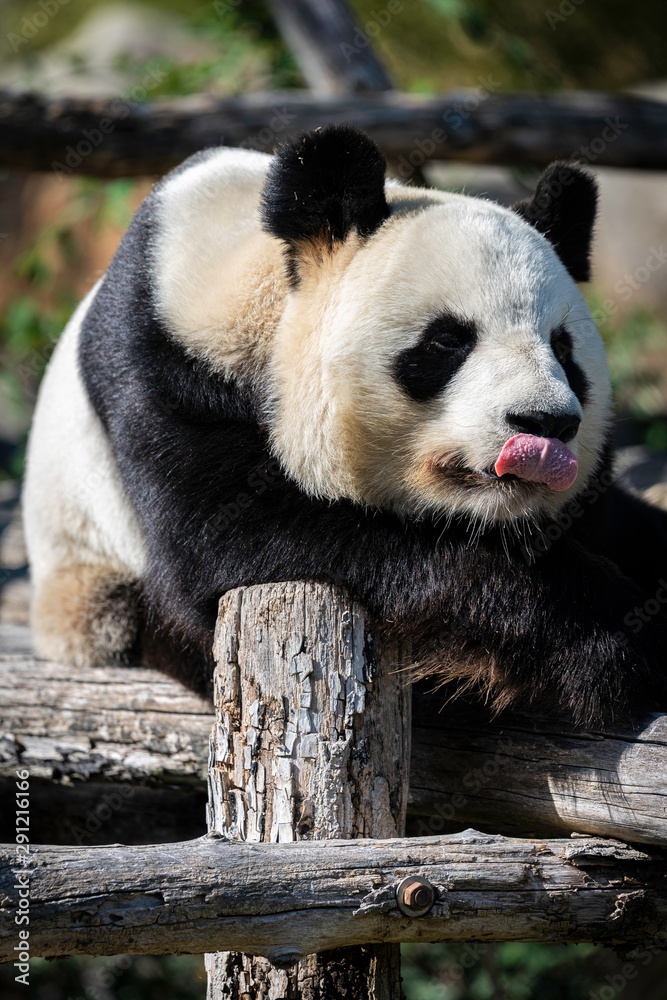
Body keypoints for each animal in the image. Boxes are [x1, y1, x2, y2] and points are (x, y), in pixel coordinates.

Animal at [23, 124, 667, 723]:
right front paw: (607, 649)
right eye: (447, 341)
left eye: (563, 349)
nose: (545, 425)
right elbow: (234, 538)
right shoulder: (165, 371)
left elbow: (613, 521)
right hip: (94, 585)